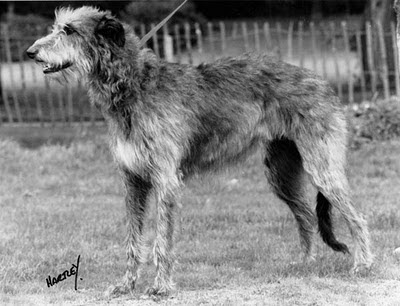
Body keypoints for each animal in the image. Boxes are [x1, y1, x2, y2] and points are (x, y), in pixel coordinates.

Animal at [26, 6, 374, 296]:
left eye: (68, 30)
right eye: (57, 26)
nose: (31, 52)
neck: (133, 84)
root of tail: (322, 81)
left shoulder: (165, 179)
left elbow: (161, 241)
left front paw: (161, 287)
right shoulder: (133, 180)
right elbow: (133, 241)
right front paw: (126, 285)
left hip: (322, 166)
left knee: (357, 217)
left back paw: (364, 265)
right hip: (281, 171)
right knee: (305, 215)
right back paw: (304, 263)